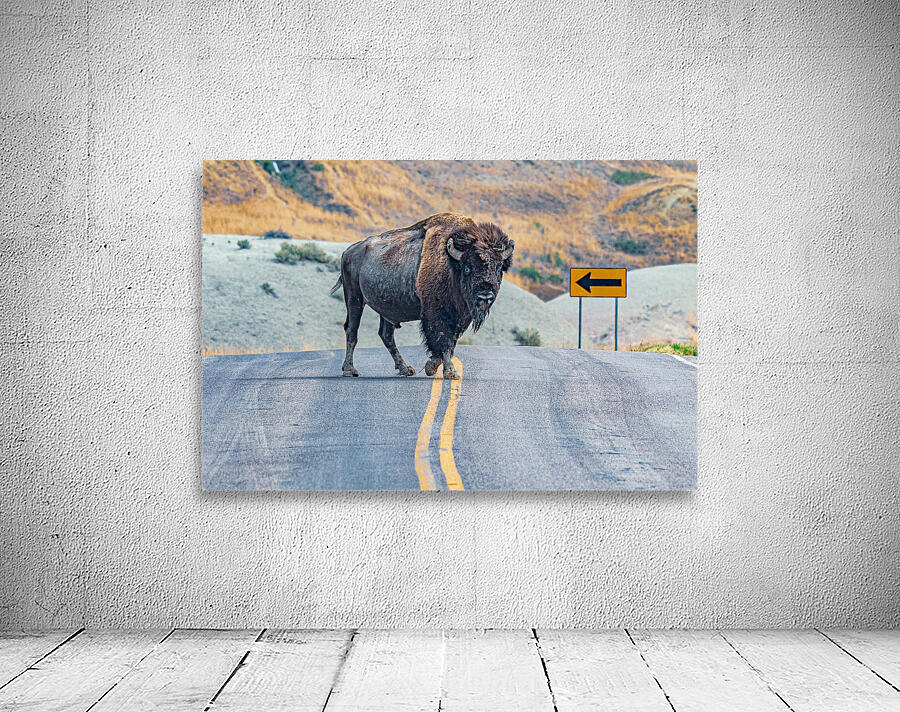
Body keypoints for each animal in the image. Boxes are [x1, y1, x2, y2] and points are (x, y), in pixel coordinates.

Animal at [330, 213, 514, 379]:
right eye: (468, 267)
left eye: (499, 268)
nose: (485, 296)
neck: (452, 265)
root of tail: (349, 251)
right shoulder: (437, 314)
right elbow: (443, 341)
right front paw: (449, 372)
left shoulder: (460, 318)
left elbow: (450, 343)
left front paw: (431, 366)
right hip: (354, 299)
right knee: (352, 330)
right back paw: (350, 370)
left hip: (386, 310)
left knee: (386, 335)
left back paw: (405, 369)